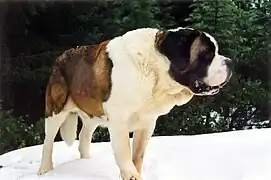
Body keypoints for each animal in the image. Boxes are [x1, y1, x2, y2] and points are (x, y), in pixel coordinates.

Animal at [37, 27, 234, 180]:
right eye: (207, 54)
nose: (231, 62)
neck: (155, 71)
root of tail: (61, 56)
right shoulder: (118, 123)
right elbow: (124, 155)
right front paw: (131, 175)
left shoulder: (146, 123)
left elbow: (138, 155)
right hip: (56, 109)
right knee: (48, 141)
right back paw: (45, 170)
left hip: (93, 114)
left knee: (84, 136)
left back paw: (86, 162)